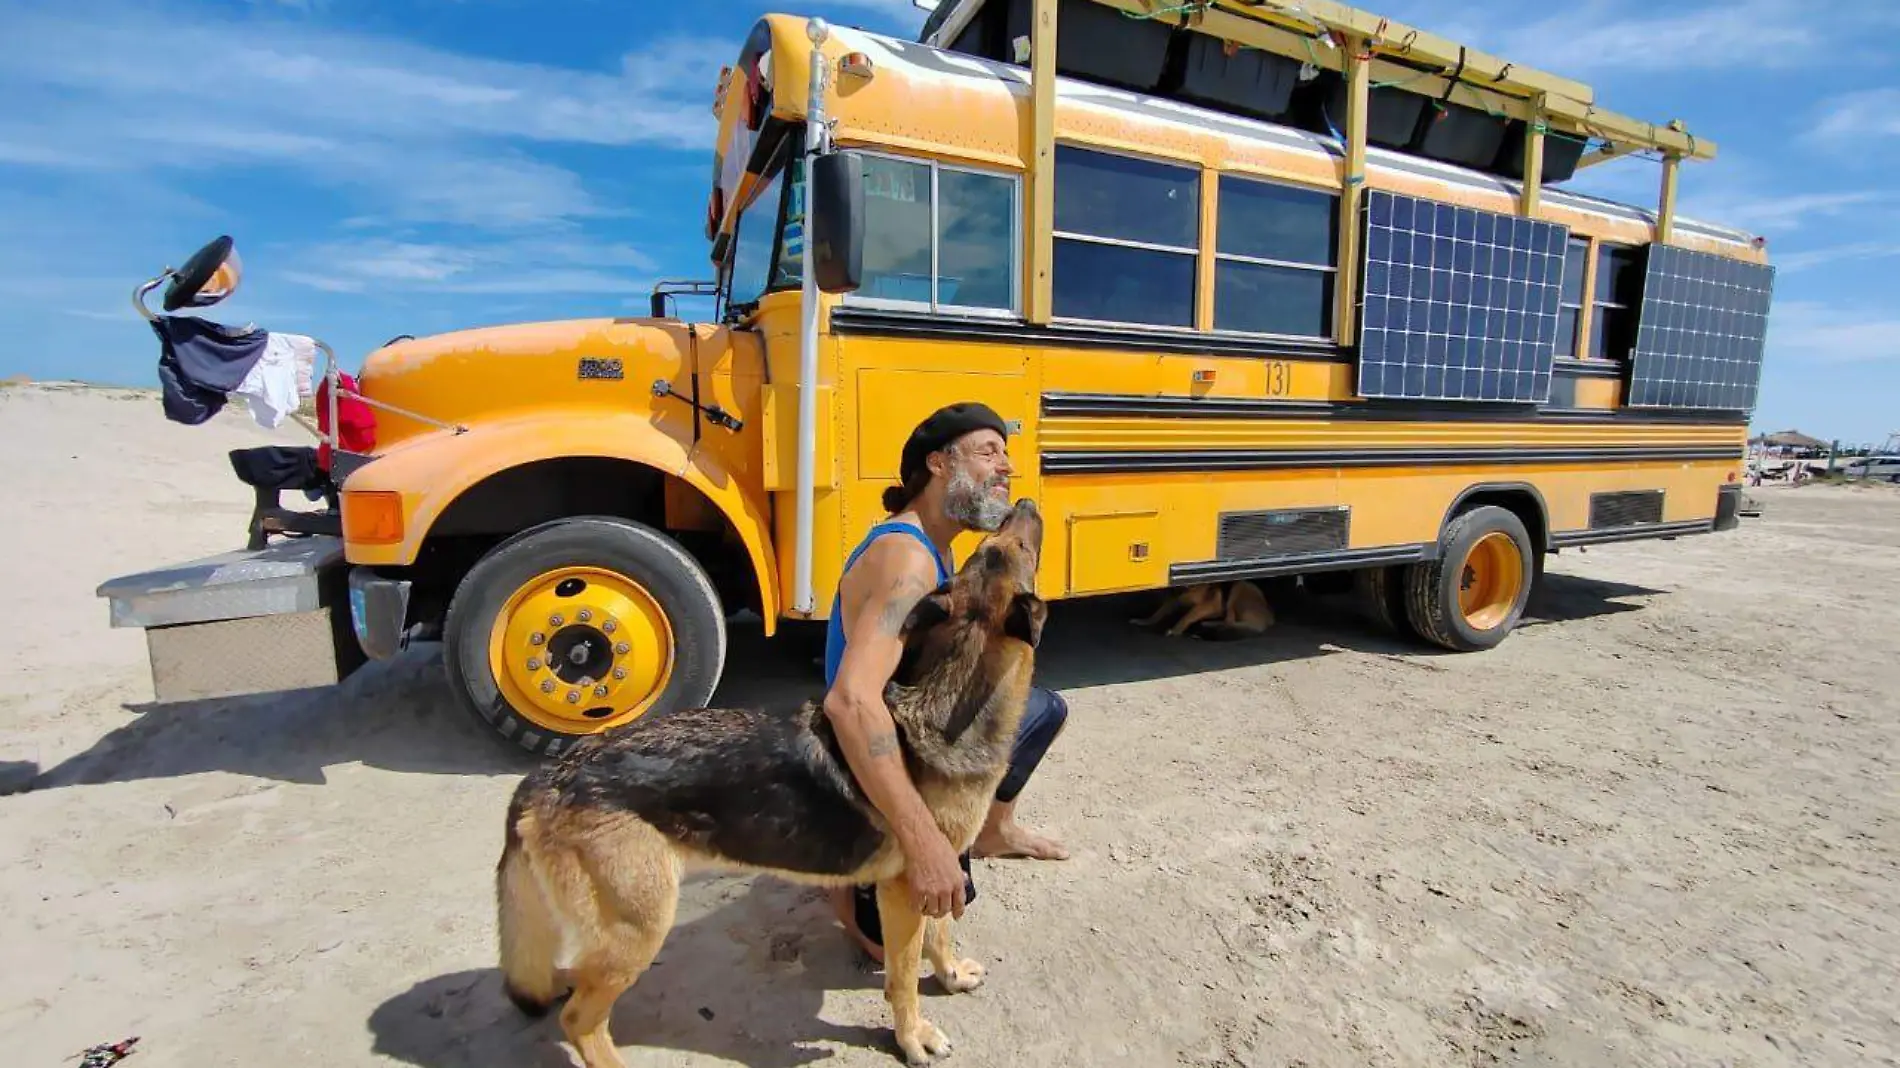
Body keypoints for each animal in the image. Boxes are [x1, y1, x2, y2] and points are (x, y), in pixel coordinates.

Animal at [497, 494, 1048, 1056]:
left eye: (992, 547)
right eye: (1016, 548)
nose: (1025, 501)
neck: (951, 699)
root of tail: (547, 777)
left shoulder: (933, 879)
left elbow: (939, 935)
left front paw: (950, 974)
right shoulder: (906, 889)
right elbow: (903, 976)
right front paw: (912, 1036)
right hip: (639, 928)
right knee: (580, 1020)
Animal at [1124, 577, 1276, 634]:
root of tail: (1269, 616)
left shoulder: (1209, 605)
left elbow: (1187, 616)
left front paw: (1175, 630)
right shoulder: (1172, 601)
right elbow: (1157, 614)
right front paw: (1143, 621)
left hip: (1238, 589)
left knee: (1230, 621)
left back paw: (1210, 624)